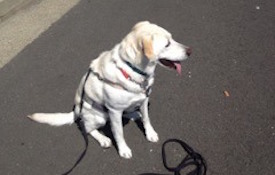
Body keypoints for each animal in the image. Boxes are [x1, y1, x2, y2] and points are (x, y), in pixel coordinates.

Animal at [28, 21, 192, 159]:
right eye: (167, 44)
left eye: (172, 39)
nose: (190, 51)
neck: (131, 69)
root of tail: (76, 111)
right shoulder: (114, 111)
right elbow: (118, 133)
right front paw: (123, 150)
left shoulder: (144, 100)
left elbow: (147, 119)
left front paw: (150, 133)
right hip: (98, 117)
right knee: (86, 128)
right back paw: (103, 139)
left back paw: (133, 113)